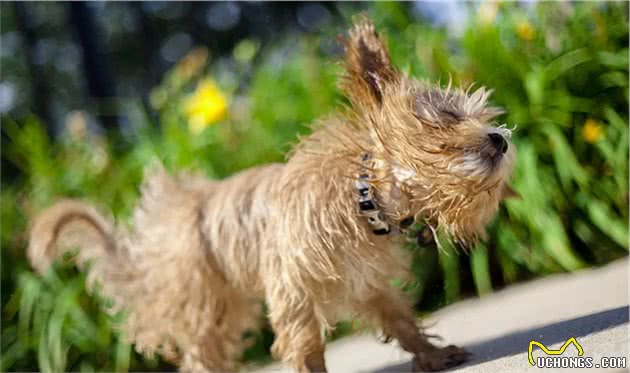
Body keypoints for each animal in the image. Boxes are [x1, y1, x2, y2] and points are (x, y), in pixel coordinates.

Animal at [27, 16, 516, 372]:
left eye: (479, 114)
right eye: (445, 119)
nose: (500, 139)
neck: (363, 200)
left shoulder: (367, 282)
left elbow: (399, 318)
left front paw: (431, 355)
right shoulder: (293, 286)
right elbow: (304, 342)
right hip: (208, 306)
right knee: (201, 355)